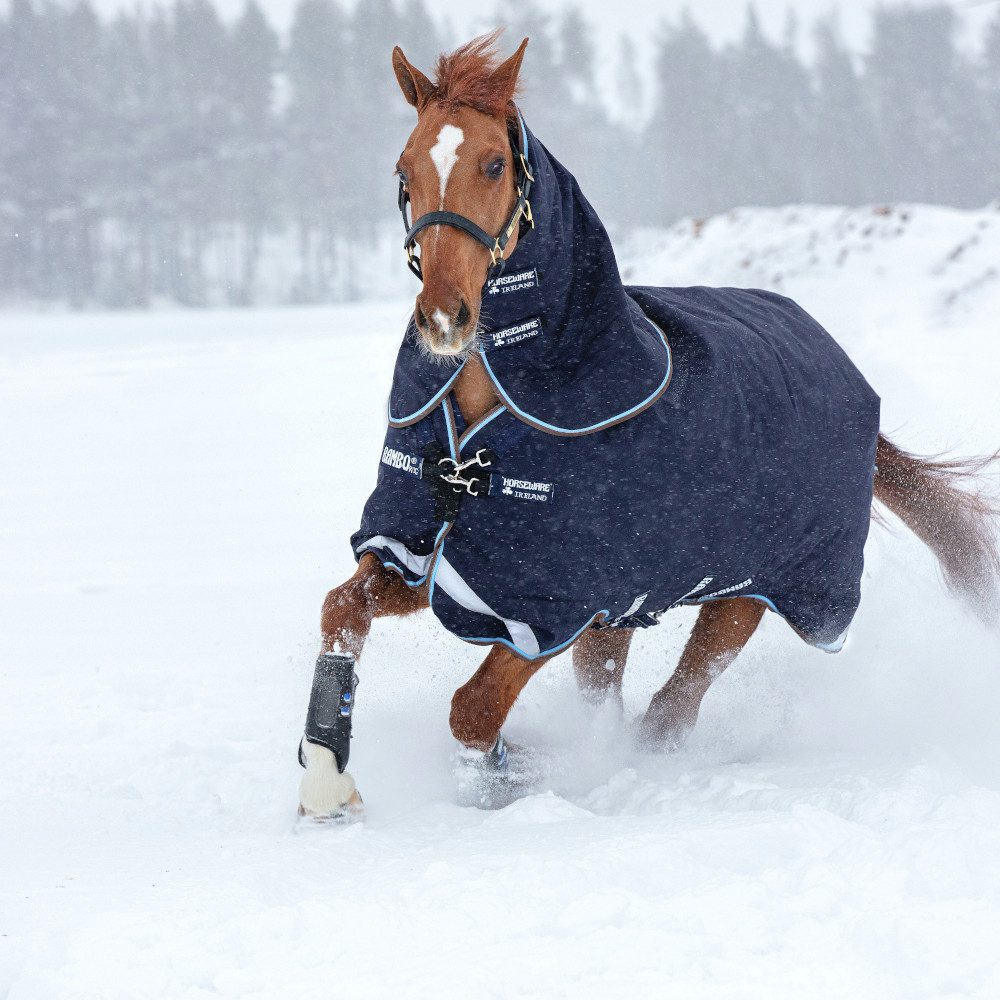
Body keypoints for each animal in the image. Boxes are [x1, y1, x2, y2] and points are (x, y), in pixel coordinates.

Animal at [296, 33, 1000, 820]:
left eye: (494, 163)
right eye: (405, 168)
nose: (445, 317)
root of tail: (846, 372)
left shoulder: (555, 604)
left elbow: (472, 709)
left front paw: (510, 774)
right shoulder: (431, 554)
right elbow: (341, 608)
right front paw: (326, 779)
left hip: (749, 592)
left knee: (671, 711)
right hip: (631, 615)